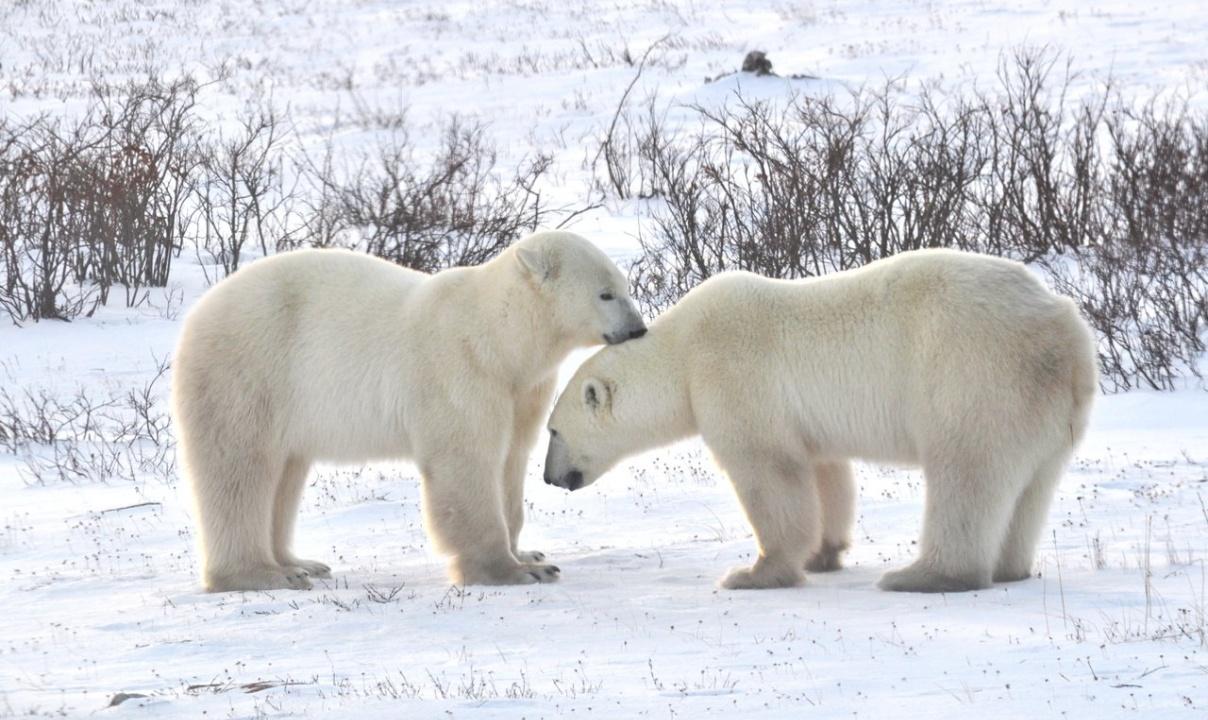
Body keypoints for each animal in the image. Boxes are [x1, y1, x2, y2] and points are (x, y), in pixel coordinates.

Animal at [173, 229, 647, 589]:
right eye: (606, 294)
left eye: (625, 288)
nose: (638, 329)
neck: (499, 337)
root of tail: (198, 313)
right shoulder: (462, 372)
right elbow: (465, 464)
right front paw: (513, 571)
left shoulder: (521, 389)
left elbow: (510, 461)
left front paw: (529, 553)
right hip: (250, 372)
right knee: (240, 470)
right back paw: (262, 574)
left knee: (284, 474)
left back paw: (300, 563)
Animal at [543, 250, 1101, 594]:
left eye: (553, 431)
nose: (550, 477)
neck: (681, 351)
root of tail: (1064, 329)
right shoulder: (806, 421)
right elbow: (825, 473)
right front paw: (823, 554)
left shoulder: (732, 376)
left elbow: (768, 472)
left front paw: (754, 572)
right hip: (1048, 407)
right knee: (1031, 485)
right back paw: (1009, 568)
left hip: (975, 373)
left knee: (966, 472)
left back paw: (922, 575)